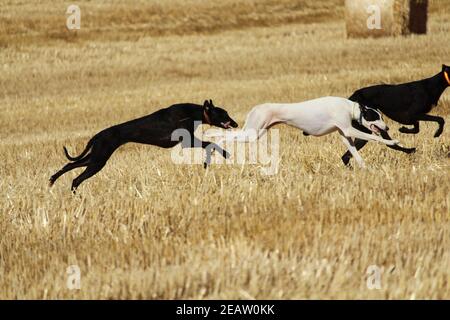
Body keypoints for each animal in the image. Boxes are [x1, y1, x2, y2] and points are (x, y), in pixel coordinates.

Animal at [48, 99, 237, 191]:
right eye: (224, 113)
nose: (235, 123)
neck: (192, 112)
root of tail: (98, 135)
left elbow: (209, 145)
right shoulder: (187, 140)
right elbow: (210, 144)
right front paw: (223, 155)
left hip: (96, 157)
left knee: (69, 165)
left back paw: (53, 180)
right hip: (98, 160)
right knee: (76, 177)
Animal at [206, 96, 400, 168]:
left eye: (381, 116)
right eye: (375, 117)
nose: (387, 128)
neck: (349, 107)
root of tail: (257, 107)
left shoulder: (344, 134)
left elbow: (354, 152)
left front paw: (364, 168)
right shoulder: (348, 128)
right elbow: (373, 137)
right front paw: (393, 141)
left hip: (257, 131)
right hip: (252, 133)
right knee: (225, 135)